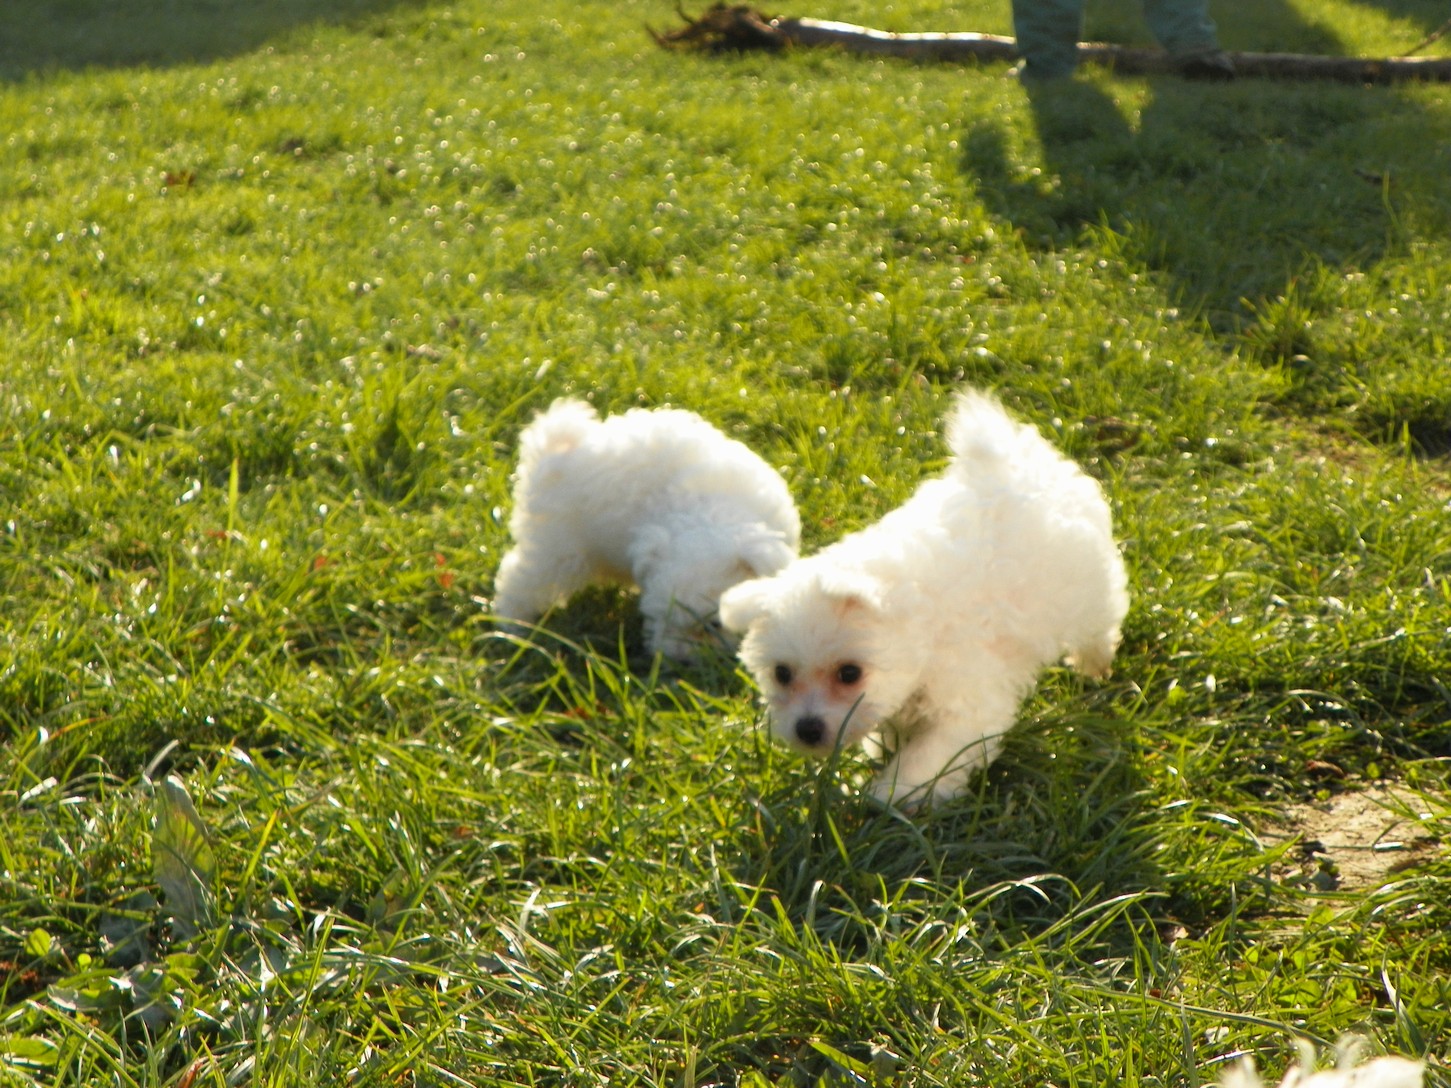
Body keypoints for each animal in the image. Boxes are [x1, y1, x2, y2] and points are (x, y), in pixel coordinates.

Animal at [493, 397, 800, 659]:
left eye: (714, 625)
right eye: (662, 618)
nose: (677, 657)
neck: (709, 510)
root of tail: (557, 453)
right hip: (559, 547)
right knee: (522, 578)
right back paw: (511, 624)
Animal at [719, 389, 1129, 809]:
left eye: (849, 673)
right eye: (781, 674)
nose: (807, 729)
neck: (921, 628)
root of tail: (1013, 458)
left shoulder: (967, 704)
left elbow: (929, 755)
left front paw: (894, 791)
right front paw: (882, 750)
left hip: (1090, 590)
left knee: (1099, 626)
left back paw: (1094, 667)